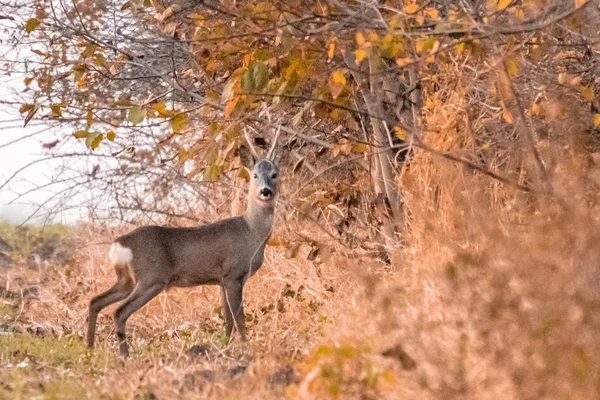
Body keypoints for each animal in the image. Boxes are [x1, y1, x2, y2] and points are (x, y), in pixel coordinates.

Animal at [87, 132, 284, 356]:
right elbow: (239, 318)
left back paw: (90, 349)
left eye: (274, 174)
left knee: (95, 301)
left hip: (126, 280)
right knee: (119, 311)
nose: (265, 191)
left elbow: (227, 320)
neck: (252, 232)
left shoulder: (221, 279)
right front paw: (245, 347)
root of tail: (119, 244)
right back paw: (124, 355)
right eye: (254, 175)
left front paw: (225, 346)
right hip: (151, 278)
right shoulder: (233, 273)